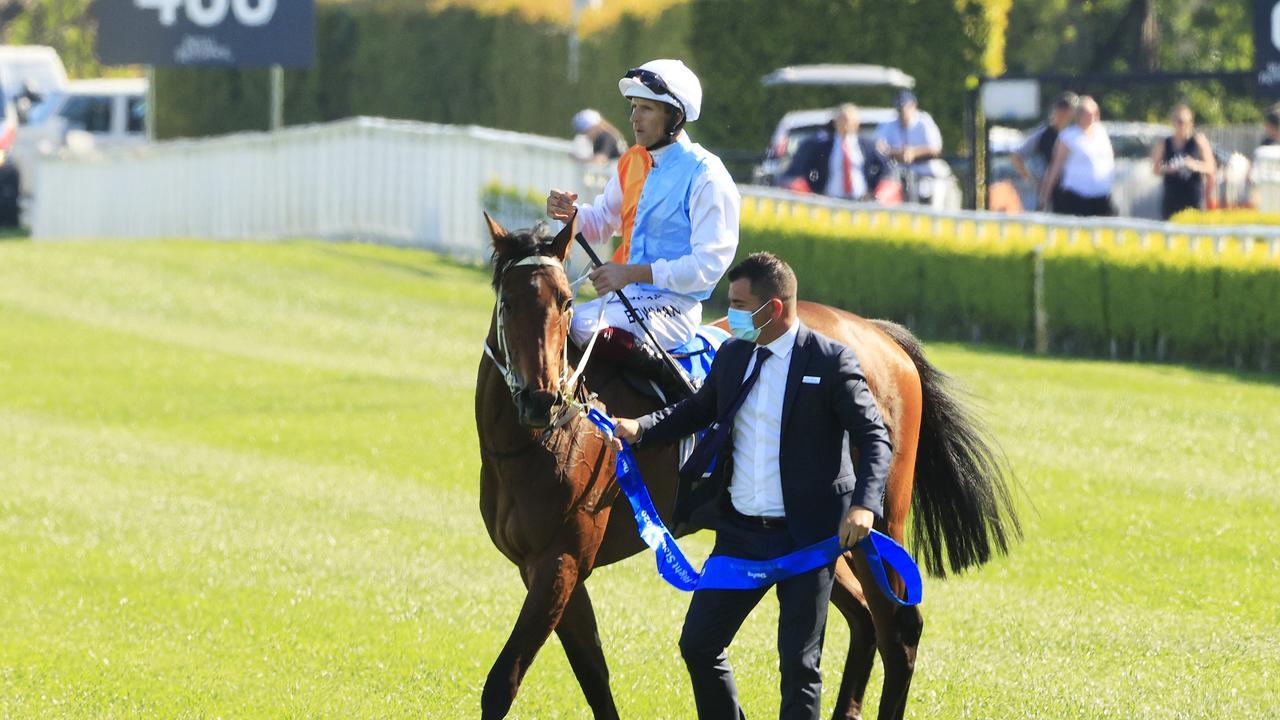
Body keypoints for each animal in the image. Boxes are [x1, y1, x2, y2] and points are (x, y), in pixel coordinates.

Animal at [473, 213, 1018, 717]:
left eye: (566, 301)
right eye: (509, 302)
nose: (543, 399)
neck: (540, 441)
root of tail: (880, 337)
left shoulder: (562, 558)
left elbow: (503, 681)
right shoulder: (544, 566)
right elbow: (593, 674)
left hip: (876, 524)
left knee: (898, 627)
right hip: (820, 537)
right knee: (864, 618)